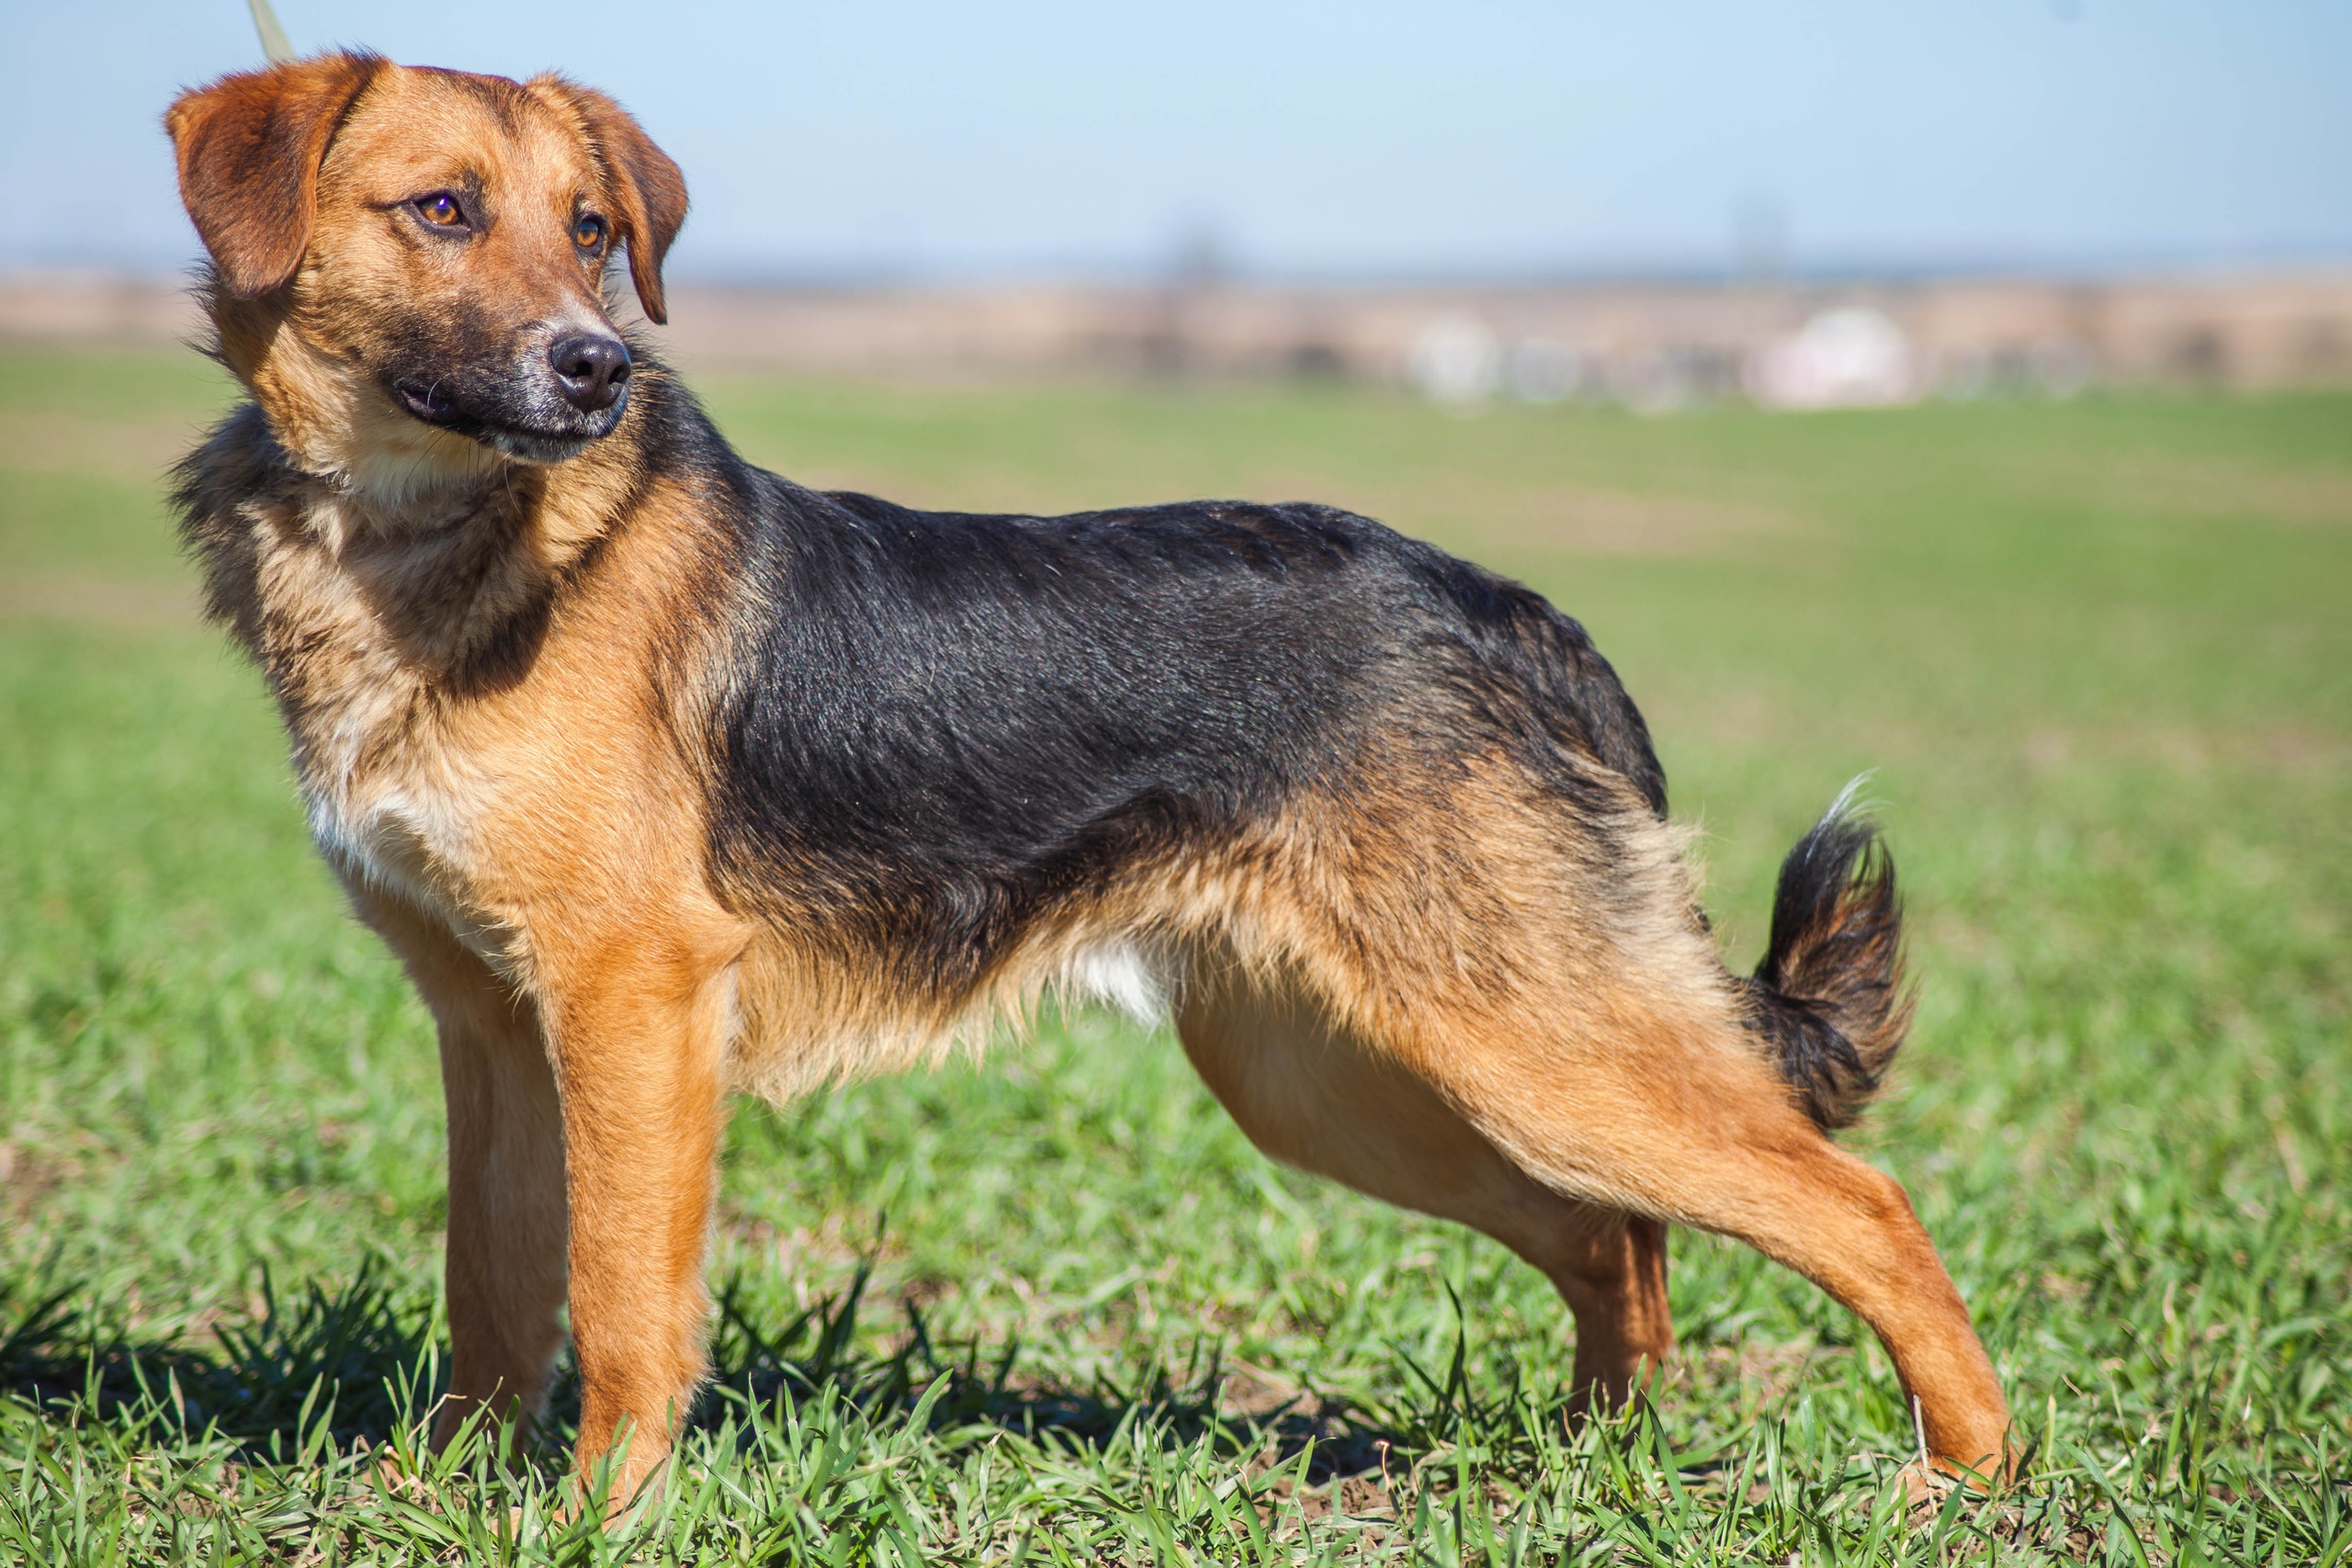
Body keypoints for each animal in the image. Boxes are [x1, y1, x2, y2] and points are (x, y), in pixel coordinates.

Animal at [165, 51, 2013, 1504]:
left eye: (593, 232)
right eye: (443, 211)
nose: (596, 369)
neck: (420, 536)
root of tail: (1503, 608)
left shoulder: (633, 1002)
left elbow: (620, 1300)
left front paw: (599, 1517)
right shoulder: (491, 1023)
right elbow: (493, 1288)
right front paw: (450, 1493)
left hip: (1528, 1042)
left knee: (1860, 1202)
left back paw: (1966, 1476)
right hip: (1338, 1075)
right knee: (1612, 1234)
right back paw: (1593, 1463)